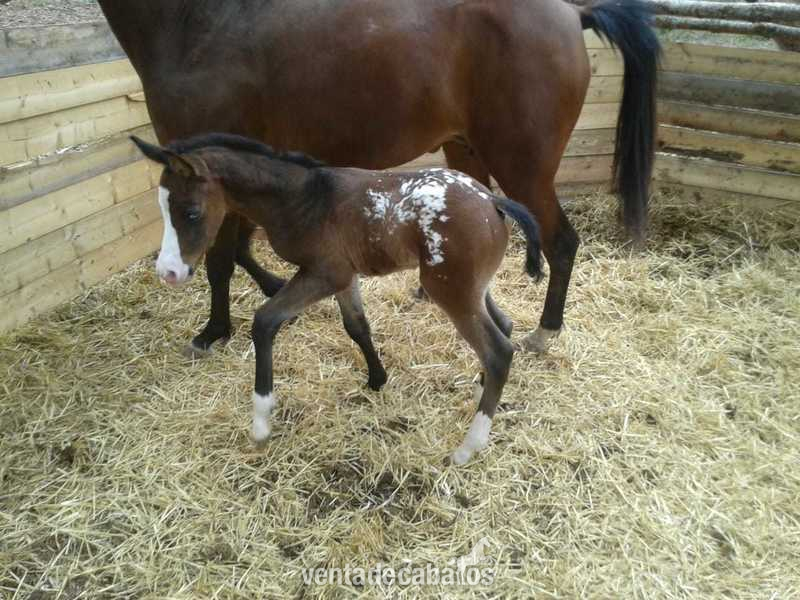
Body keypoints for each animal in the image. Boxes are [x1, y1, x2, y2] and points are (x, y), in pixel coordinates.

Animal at [98, 0, 659, 356]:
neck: (200, 23)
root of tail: (572, 12)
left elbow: (219, 258)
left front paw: (213, 331)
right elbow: (239, 251)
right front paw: (275, 292)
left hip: (522, 164)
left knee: (562, 242)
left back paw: (544, 333)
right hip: (467, 154)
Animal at [131, 133, 543, 465]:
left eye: (191, 212)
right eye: (163, 209)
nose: (169, 272)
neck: (306, 199)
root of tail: (492, 200)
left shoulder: (323, 274)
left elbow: (265, 321)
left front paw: (261, 420)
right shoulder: (345, 276)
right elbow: (356, 325)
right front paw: (377, 379)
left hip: (449, 288)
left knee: (498, 351)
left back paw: (468, 447)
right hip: (473, 287)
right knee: (504, 327)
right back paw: (480, 389)